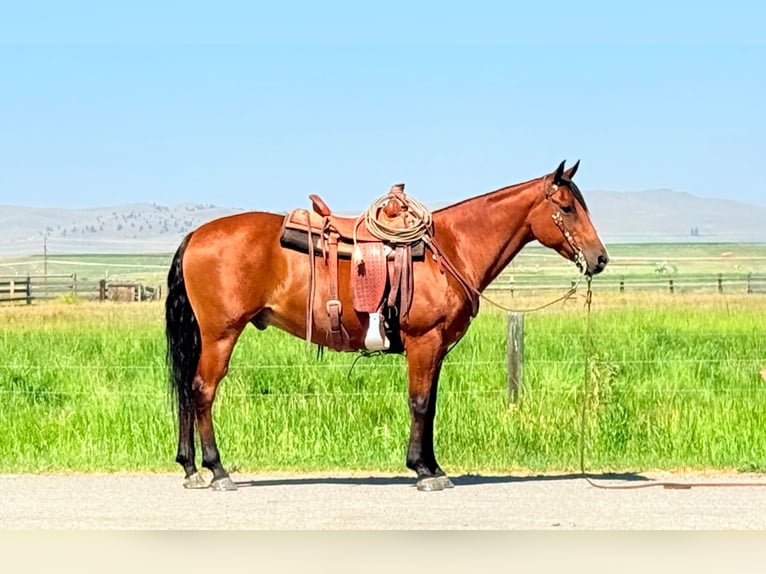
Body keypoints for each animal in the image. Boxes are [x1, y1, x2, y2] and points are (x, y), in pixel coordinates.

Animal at [165, 160, 609, 491]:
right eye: (568, 207)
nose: (600, 258)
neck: (452, 248)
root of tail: (195, 235)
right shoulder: (423, 341)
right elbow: (420, 403)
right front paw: (423, 471)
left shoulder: (437, 348)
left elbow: (430, 406)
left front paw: (433, 466)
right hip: (221, 334)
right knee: (202, 391)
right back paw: (217, 470)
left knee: (187, 390)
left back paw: (190, 468)